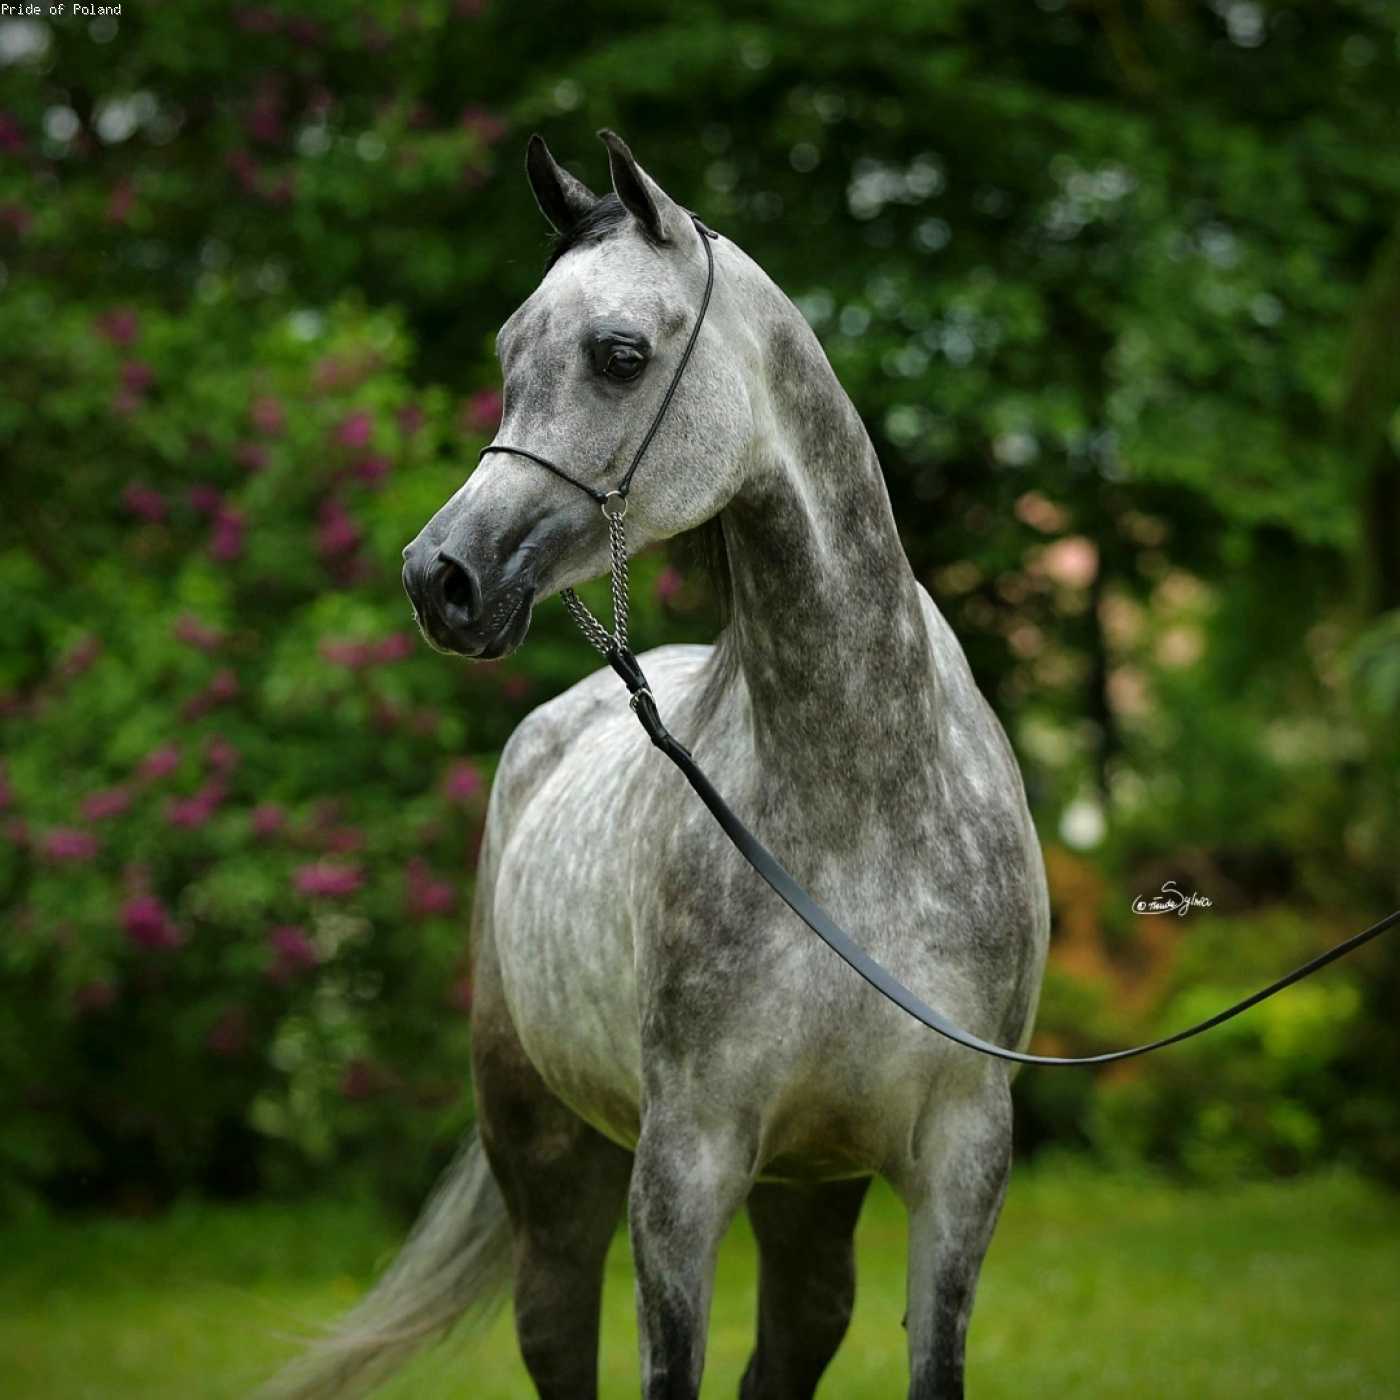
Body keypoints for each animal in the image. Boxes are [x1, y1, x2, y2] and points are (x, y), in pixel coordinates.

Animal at [264, 130, 1049, 1400]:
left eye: (619, 354)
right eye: (507, 355)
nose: (441, 577)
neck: (856, 808)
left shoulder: (958, 1159)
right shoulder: (681, 1170)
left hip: (808, 1186)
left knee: (795, 1335)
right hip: (551, 1162)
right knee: (552, 1329)